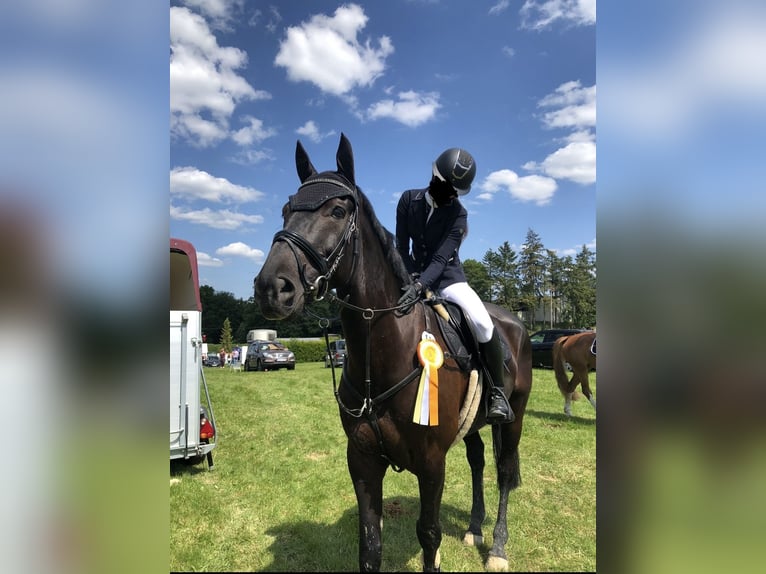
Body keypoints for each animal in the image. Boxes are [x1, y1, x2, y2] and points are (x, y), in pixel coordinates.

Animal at [254, 133, 532, 572]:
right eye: (286, 210)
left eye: (337, 210)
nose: (271, 288)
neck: (383, 357)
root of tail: (515, 322)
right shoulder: (362, 461)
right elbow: (370, 545)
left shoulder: (432, 463)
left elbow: (430, 535)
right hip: (473, 424)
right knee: (477, 460)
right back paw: (474, 528)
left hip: (514, 414)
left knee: (504, 470)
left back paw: (498, 549)